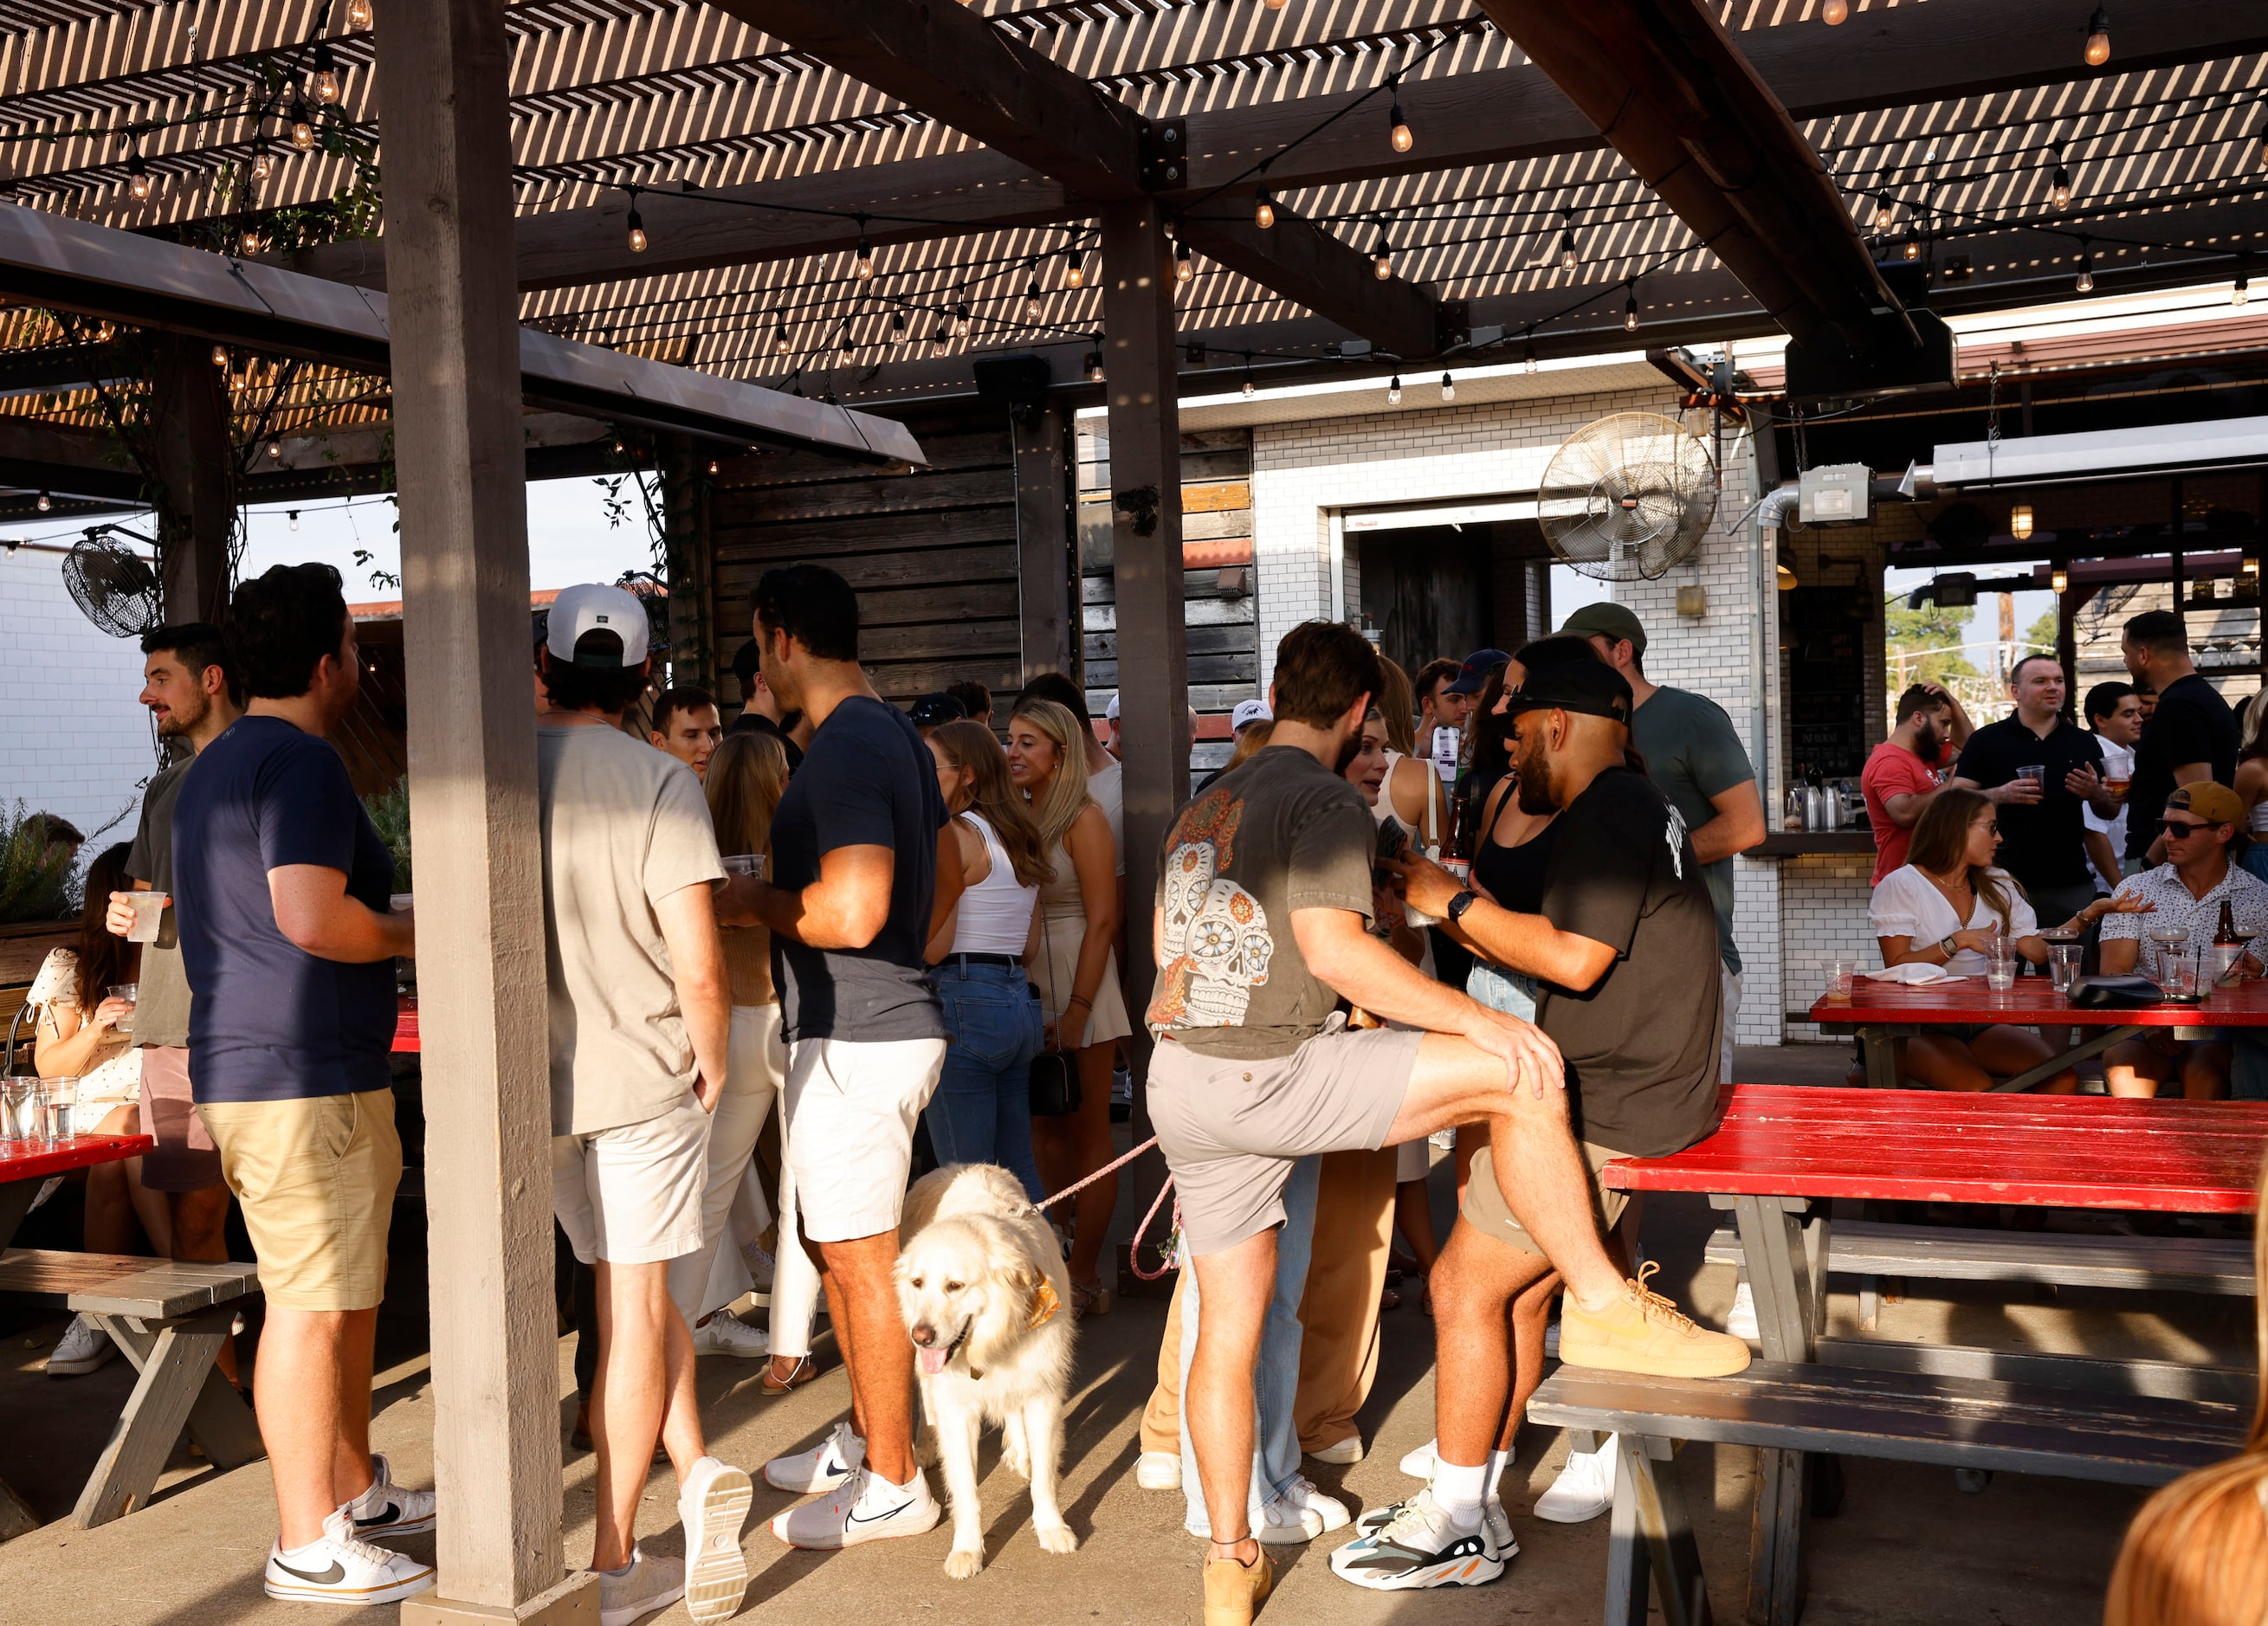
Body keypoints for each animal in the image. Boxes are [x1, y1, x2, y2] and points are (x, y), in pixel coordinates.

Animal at [893, 1161, 1079, 1578]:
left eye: (955, 1285)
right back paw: (926, 1444)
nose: (921, 1336)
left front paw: (1051, 1528)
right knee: (926, 1400)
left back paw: (1020, 1452)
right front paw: (966, 1550)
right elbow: (965, 1489)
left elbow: (1044, 1478)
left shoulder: (1043, 1394)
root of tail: (950, 1168)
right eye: (918, 1282)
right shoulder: (958, 1409)